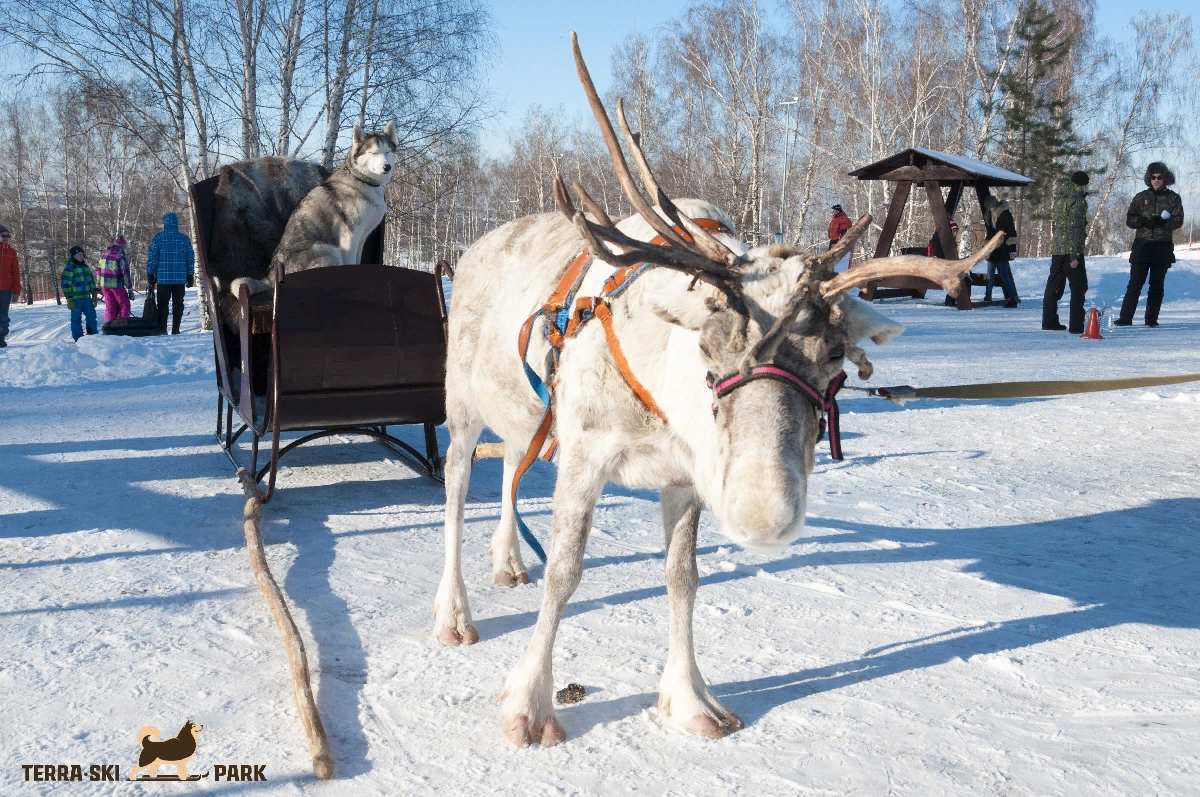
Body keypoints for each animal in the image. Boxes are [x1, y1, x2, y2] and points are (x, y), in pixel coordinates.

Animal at [232, 123, 398, 297]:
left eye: (388, 151)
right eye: (373, 152)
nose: (387, 167)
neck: (362, 180)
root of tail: (271, 278)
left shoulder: (361, 237)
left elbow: (358, 262)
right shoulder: (349, 237)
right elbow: (350, 264)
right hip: (329, 250)